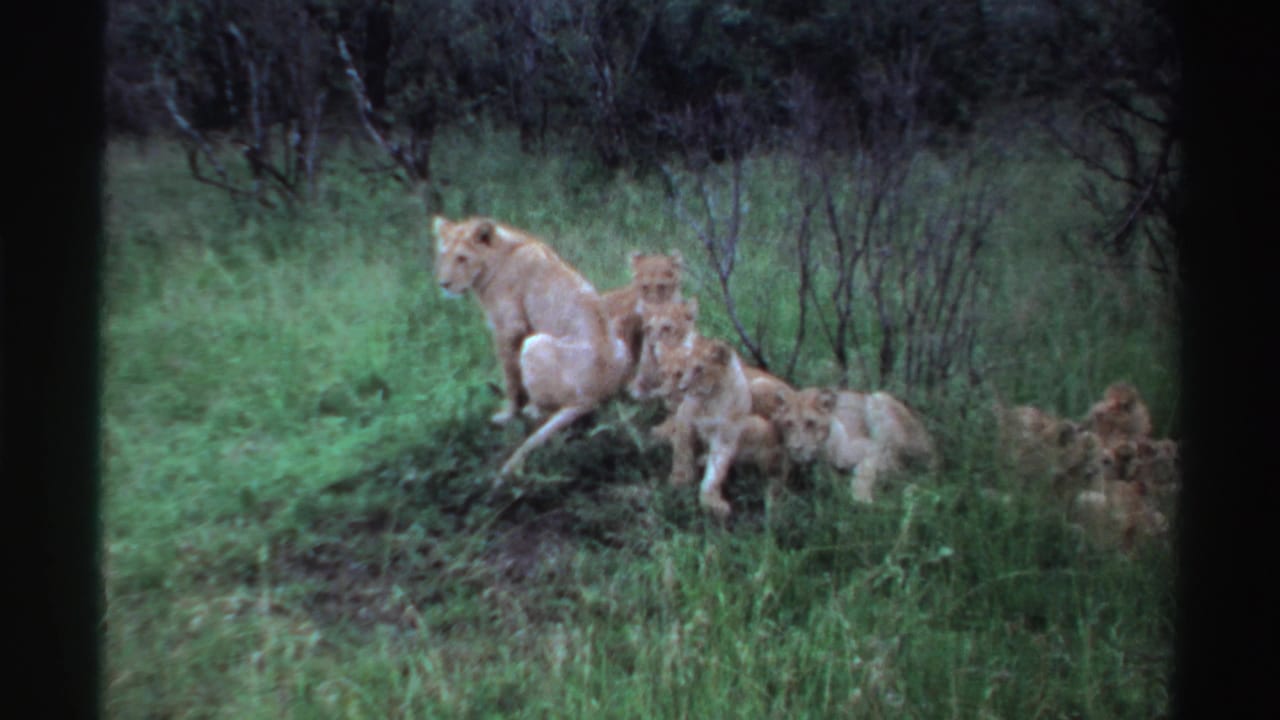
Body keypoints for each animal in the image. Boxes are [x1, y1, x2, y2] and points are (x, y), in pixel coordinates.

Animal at [433, 215, 631, 477]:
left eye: (462, 258)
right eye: (443, 255)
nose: (444, 284)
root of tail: (594, 395)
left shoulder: (509, 328)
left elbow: (510, 377)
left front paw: (508, 413)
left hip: (534, 344)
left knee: (548, 409)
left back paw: (532, 410)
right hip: (620, 343)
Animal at [661, 336, 787, 520]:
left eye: (699, 369)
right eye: (683, 369)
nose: (681, 388)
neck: (712, 399)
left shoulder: (726, 437)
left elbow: (716, 472)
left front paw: (712, 502)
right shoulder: (684, 419)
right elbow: (682, 452)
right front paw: (680, 479)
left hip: (760, 398)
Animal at [774, 387, 937, 503]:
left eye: (810, 423)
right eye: (788, 424)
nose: (796, 448)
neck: (822, 454)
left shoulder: (875, 448)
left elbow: (864, 471)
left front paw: (861, 498)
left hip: (877, 400)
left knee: (904, 467)